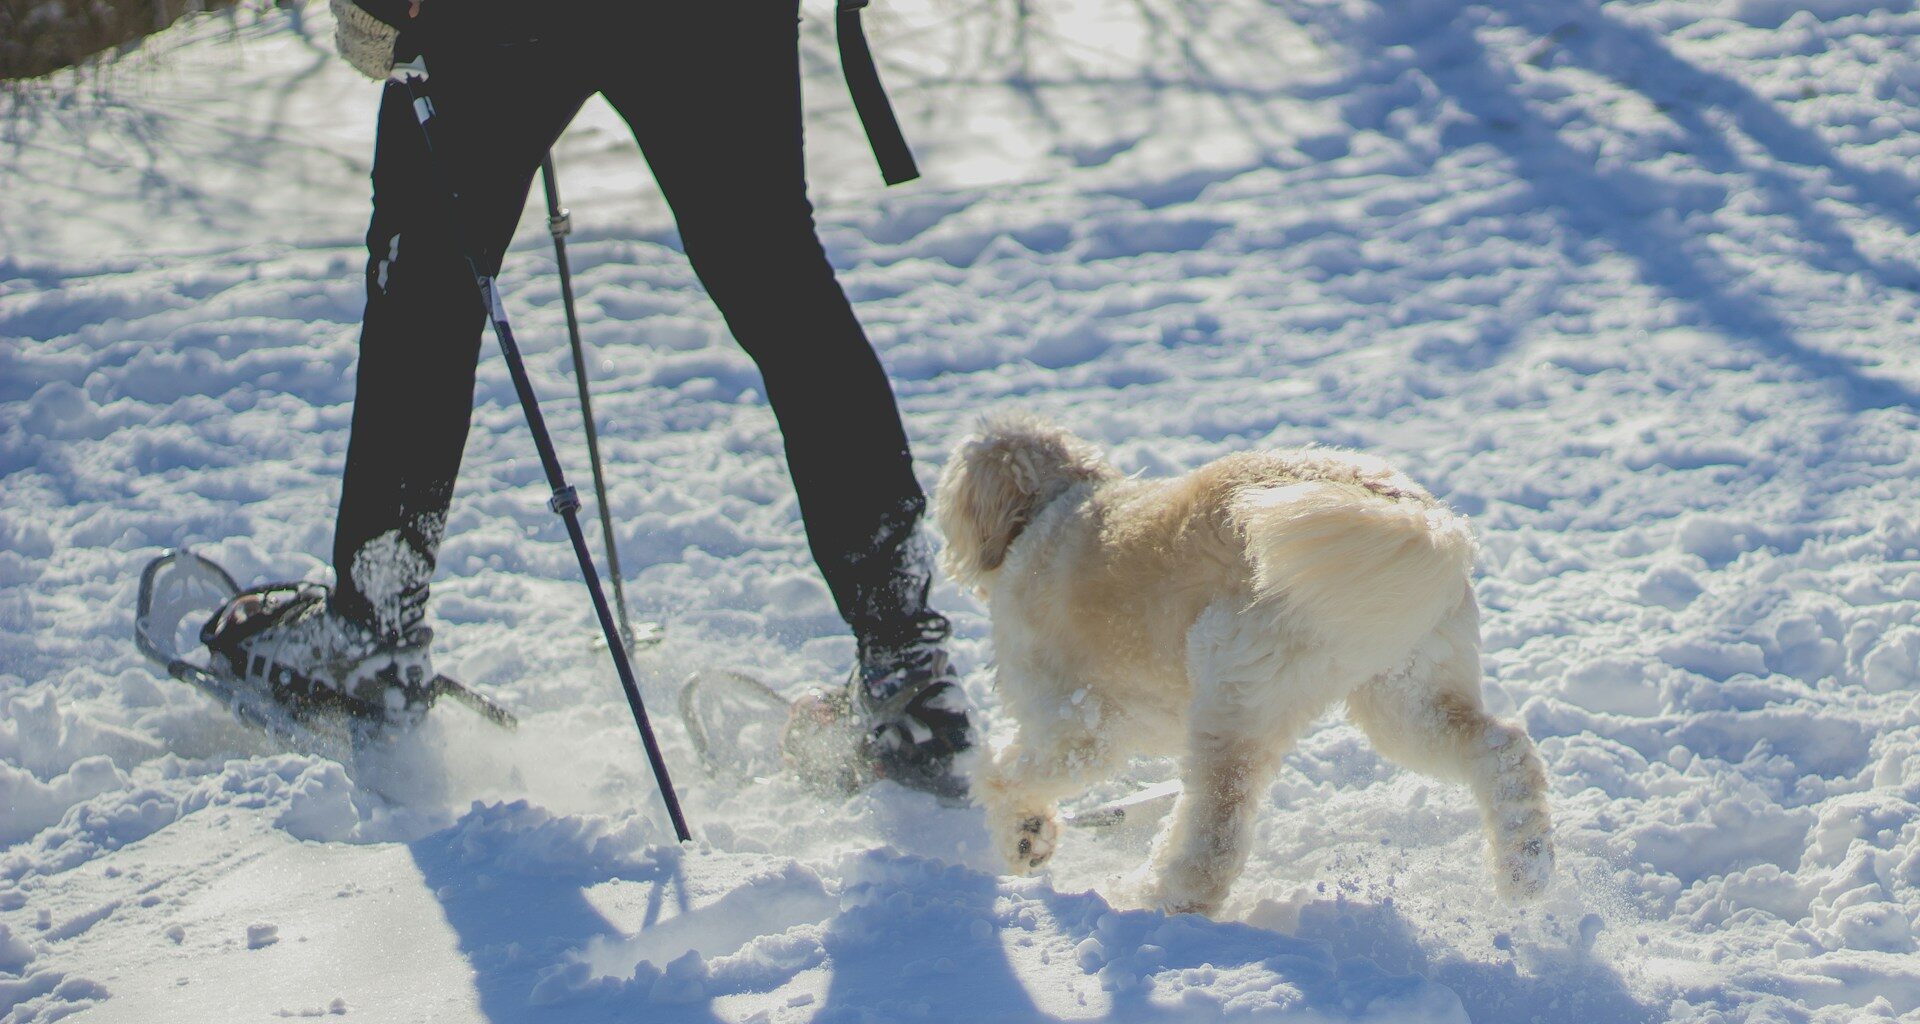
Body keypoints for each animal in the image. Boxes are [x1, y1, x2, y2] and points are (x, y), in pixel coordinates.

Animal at [936, 411, 1551, 914]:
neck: (1053, 507)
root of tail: (1414, 516)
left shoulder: (1078, 726)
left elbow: (1002, 776)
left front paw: (1023, 834)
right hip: (1407, 696)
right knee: (1503, 751)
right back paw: (1525, 871)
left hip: (1232, 695)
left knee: (1215, 836)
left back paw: (1155, 899)